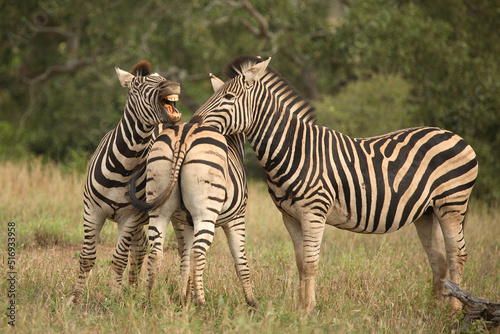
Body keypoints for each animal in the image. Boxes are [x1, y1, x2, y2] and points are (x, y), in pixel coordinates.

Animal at [68, 60, 182, 302]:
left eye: (162, 78)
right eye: (137, 86)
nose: (173, 85)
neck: (124, 166)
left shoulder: (129, 217)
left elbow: (119, 260)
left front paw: (115, 297)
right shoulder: (92, 211)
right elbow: (87, 257)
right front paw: (76, 298)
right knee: (140, 248)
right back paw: (132, 289)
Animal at [129, 75, 256, 308]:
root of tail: (185, 134)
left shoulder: (185, 221)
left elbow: (184, 257)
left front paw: (183, 297)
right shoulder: (237, 218)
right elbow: (240, 259)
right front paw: (251, 301)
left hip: (160, 205)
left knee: (156, 251)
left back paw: (147, 299)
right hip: (205, 211)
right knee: (198, 252)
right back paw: (202, 302)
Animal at [189, 56, 478, 314]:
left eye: (229, 97)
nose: (192, 122)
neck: (295, 149)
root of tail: (454, 135)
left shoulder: (314, 212)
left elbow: (310, 262)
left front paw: (307, 311)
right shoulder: (290, 217)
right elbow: (300, 262)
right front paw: (302, 308)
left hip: (452, 203)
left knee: (457, 254)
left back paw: (453, 311)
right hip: (426, 212)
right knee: (438, 259)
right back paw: (433, 309)